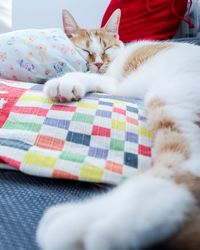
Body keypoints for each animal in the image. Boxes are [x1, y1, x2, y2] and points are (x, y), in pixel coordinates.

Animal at [36, 8, 200, 249]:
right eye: (85, 50)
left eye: (106, 48)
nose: (97, 64)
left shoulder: (113, 83)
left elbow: (87, 76)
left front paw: (65, 81)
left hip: (174, 99)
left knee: (178, 172)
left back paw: (87, 224)